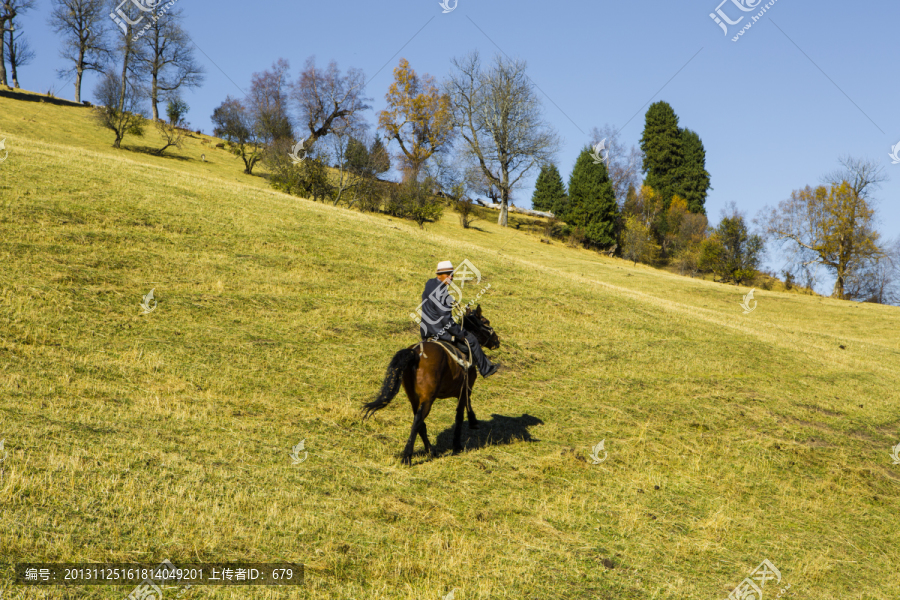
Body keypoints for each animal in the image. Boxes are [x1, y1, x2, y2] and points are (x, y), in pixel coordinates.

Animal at [364, 304, 502, 464]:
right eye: (486, 322)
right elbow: (460, 415)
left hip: (414, 398)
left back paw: (431, 450)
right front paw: (458, 444)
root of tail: (415, 353)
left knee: (420, 422)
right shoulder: (465, 389)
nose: (497, 340)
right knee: (418, 420)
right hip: (428, 398)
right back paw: (407, 456)